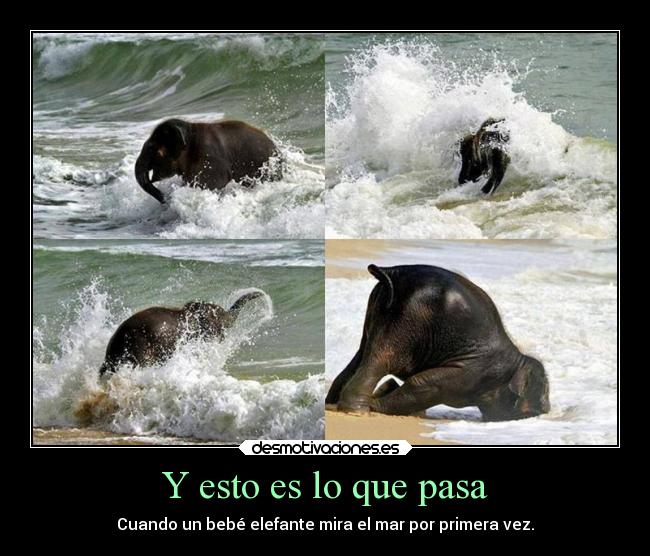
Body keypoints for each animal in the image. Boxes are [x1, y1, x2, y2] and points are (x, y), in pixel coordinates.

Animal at [326, 265, 549, 421]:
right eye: (535, 410)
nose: (546, 410)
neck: (517, 360)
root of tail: (392, 273)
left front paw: (389, 394)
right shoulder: (472, 372)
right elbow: (424, 384)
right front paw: (377, 402)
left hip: (379, 310)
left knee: (362, 353)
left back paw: (333, 403)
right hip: (408, 319)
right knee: (381, 358)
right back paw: (357, 410)